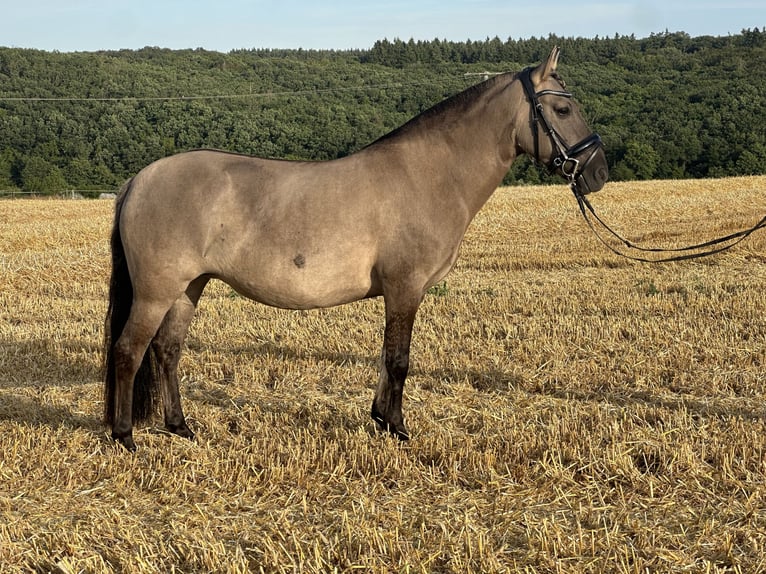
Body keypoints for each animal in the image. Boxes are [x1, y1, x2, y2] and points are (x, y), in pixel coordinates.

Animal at [103, 47, 608, 451]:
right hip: (156, 291)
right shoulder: (405, 288)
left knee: (167, 350)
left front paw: (380, 419)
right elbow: (399, 360)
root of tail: (139, 180)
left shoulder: (398, 293)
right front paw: (398, 428)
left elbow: (386, 358)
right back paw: (125, 437)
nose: (598, 171)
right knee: (128, 350)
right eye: (562, 109)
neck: (427, 174)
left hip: (189, 287)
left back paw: (181, 427)